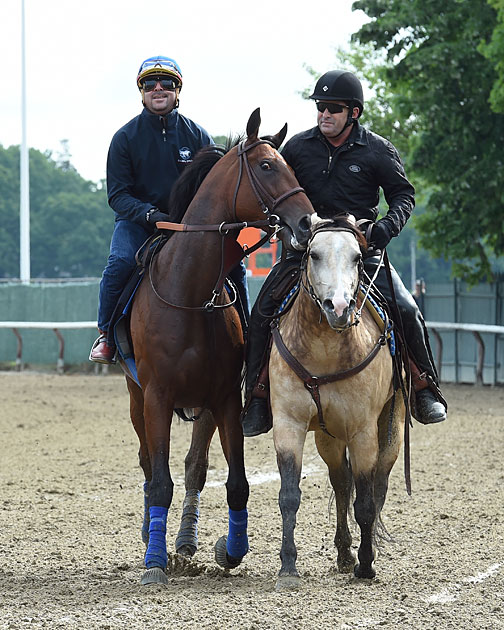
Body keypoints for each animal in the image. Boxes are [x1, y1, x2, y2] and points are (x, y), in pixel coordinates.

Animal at [124, 110, 314, 588]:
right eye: (266, 166)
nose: (308, 221)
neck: (190, 292)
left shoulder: (225, 398)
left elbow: (236, 483)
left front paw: (230, 550)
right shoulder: (156, 397)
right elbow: (159, 479)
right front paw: (154, 563)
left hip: (203, 405)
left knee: (194, 465)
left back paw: (185, 541)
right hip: (136, 398)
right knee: (148, 465)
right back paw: (152, 536)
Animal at [268, 215, 406, 592]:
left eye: (358, 257)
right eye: (314, 254)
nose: (340, 308)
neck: (325, 350)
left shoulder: (363, 433)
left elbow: (367, 502)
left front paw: (367, 565)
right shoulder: (289, 424)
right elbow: (289, 495)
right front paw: (288, 568)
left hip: (391, 430)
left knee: (378, 486)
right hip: (327, 437)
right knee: (341, 482)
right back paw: (345, 552)